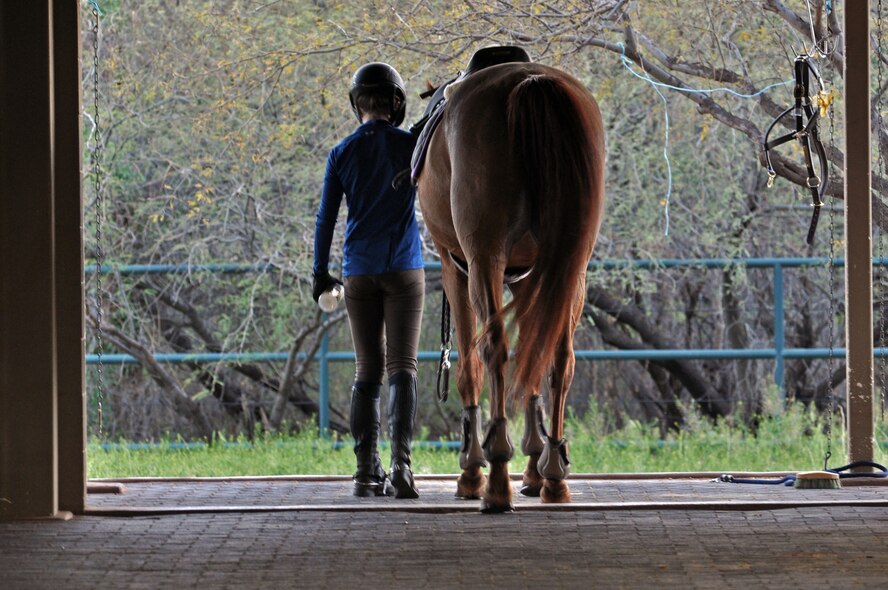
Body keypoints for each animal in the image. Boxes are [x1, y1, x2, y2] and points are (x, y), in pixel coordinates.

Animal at [415, 60, 605, 513]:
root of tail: (529, 82)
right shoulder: (529, 276)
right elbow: (534, 357)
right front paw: (535, 467)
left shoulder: (457, 268)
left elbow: (470, 368)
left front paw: (471, 470)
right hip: (572, 267)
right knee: (560, 358)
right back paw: (554, 476)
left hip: (483, 260)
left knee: (494, 350)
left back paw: (497, 479)